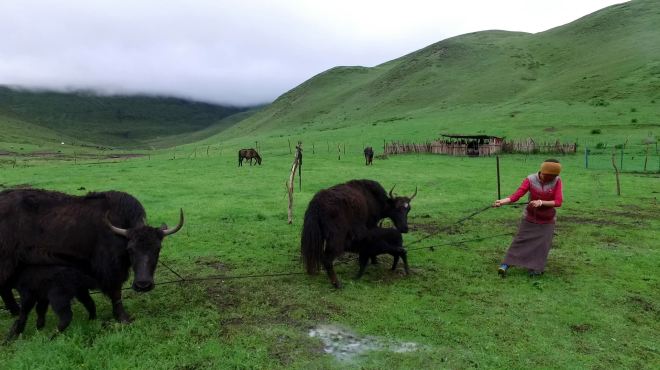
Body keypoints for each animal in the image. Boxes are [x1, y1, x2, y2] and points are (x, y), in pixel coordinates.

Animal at [0, 189, 183, 322]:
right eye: (130, 249)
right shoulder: (111, 268)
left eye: (158, 248)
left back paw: (16, 312)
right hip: (6, 262)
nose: (143, 285)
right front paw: (123, 318)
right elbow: (116, 292)